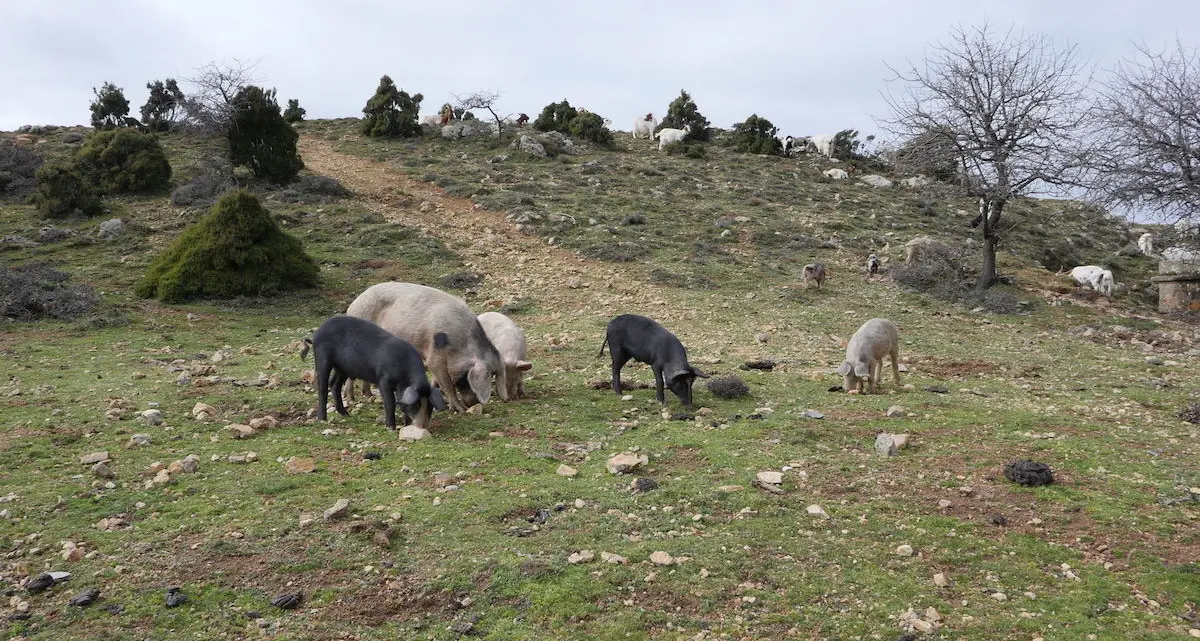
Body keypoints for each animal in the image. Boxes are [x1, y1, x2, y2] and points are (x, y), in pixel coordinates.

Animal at [302, 316, 448, 441]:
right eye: (416, 404)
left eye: (429, 405)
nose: (423, 427)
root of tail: (316, 333)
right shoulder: (384, 379)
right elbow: (390, 402)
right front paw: (390, 427)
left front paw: (407, 425)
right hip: (322, 357)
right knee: (322, 386)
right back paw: (322, 419)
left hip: (343, 367)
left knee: (334, 384)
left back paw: (346, 414)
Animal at [343, 284, 506, 415]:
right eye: (468, 377)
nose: (474, 403)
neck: (461, 342)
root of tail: (354, 304)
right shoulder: (435, 355)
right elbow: (447, 384)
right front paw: (461, 410)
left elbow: (436, 380)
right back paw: (351, 399)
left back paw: (369, 395)